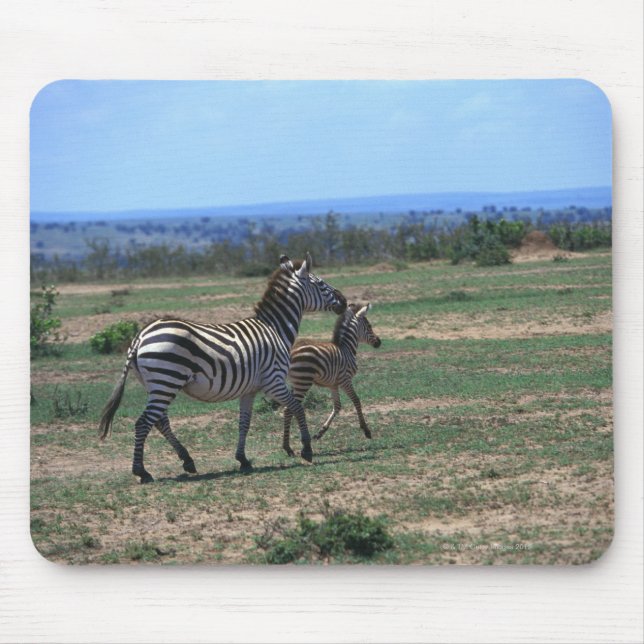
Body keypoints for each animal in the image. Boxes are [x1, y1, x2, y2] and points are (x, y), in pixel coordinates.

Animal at [98, 253, 346, 483]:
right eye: (321, 283)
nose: (344, 301)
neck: (274, 329)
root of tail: (140, 336)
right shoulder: (273, 380)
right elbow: (297, 408)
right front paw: (306, 450)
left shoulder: (250, 389)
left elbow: (244, 423)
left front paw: (243, 459)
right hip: (167, 380)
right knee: (144, 423)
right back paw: (142, 472)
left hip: (156, 384)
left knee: (159, 421)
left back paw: (187, 461)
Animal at [282, 302, 381, 456]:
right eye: (369, 326)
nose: (379, 342)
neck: (346, 349)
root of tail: (290, 351)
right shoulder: (345, 380)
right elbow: (356, 401)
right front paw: (366, 430)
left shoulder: (333, 384)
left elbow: (337, 406)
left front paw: (320, 432)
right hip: (303, 382)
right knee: (288, 409)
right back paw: (288, 447)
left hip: (296, 382)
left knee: (289, 408)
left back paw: (288, 447)